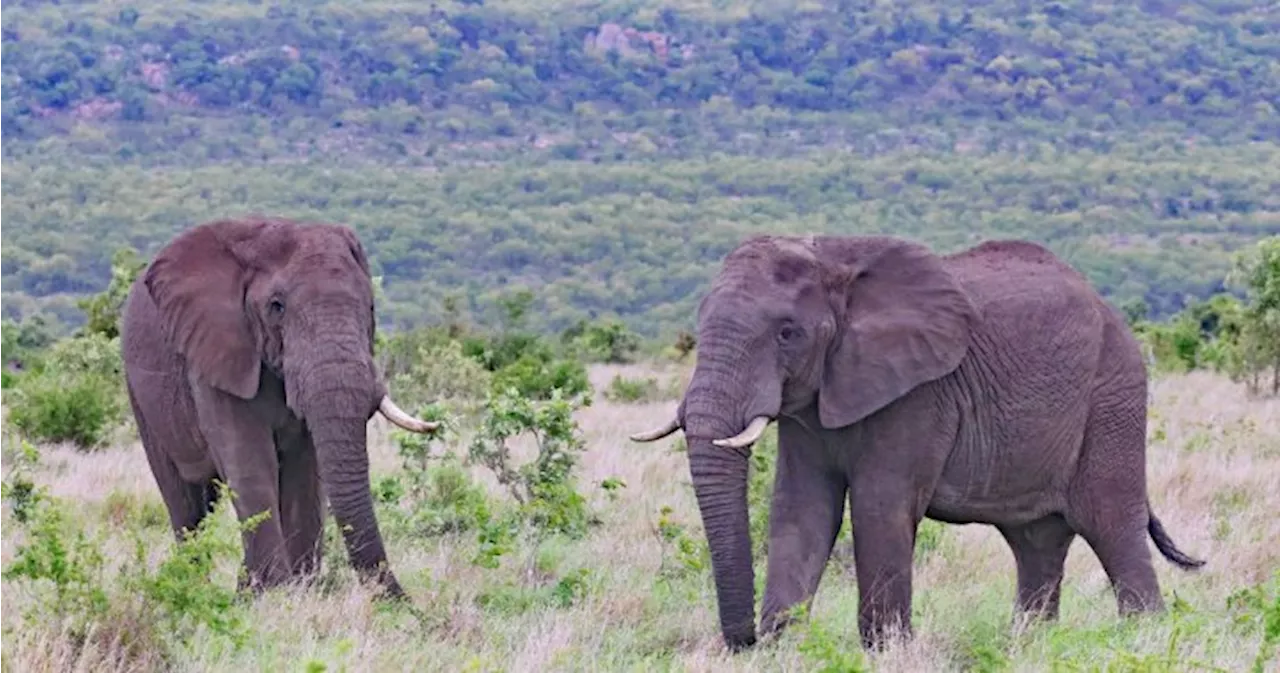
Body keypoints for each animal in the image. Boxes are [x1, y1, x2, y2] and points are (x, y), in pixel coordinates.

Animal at [120, 214, 440, 596]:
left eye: (371, 308)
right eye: (277, 307)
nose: (403, 601)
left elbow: (305, 471)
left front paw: (297, 592)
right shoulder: (218, 353)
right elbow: (251, 463)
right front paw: (274, 594)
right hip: (139, 392)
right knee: (185, 502)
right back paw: (191, 585)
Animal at [634, 236, 1203, 655]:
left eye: (787, 333)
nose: (744, 641)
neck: (835, 262)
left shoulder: (919, 393)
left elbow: (878, 506)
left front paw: (884, 652)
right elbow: (801, 508)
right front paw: (785, 649)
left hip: (1113, 397)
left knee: (1111, 524)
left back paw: (1145, 640)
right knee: (1036, 540)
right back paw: (1029, 646)